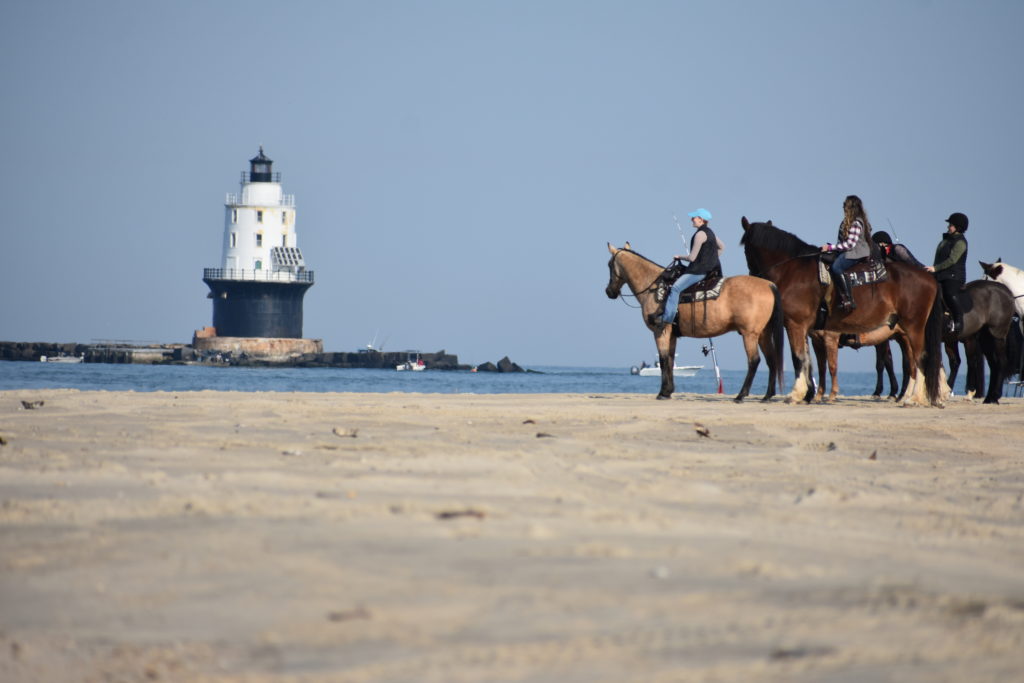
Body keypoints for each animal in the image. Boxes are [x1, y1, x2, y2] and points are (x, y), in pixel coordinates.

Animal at [605, 243, 784, 402]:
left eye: (609, 265)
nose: (609, 291)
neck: (654, 287)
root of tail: (768, 285)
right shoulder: (672, 335)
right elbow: (670, 360)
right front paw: (668, 391)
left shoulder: (660, 331)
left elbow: (663, 360)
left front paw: (662, 393)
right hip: (763, 334)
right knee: (771, 360)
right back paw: (767, 396)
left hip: (749, 334)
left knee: (754, 361)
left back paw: (741, 396)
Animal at [740, 217, 945, 406]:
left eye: (745, 249)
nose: (752, 275)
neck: (793, 271)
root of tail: (929, 276)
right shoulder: (809, 332)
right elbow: (810, 362)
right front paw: (809, 395)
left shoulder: (797, 325)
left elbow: (799, 358)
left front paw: (796, 395)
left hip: (914, 327)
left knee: (920, 358)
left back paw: (914, 398)